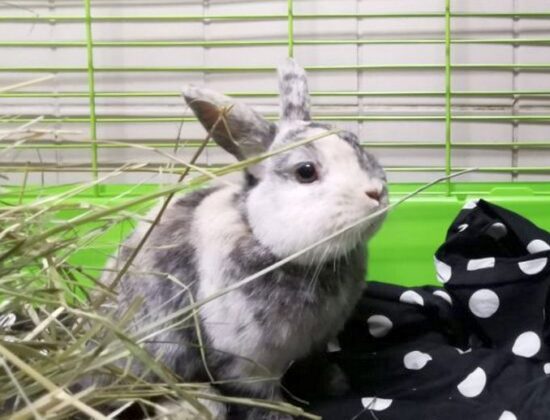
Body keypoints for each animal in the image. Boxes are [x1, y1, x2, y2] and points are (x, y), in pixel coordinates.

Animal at [98, 59, 388, 420]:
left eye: (356, 143)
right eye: (306, 171)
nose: (376, 193)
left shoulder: (316, 344)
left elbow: (315, 365)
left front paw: (336, 384)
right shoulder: (246, 365)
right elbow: (262, 400)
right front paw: (283, 416)